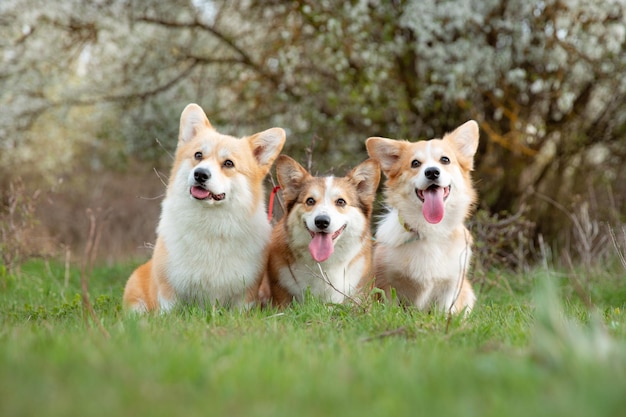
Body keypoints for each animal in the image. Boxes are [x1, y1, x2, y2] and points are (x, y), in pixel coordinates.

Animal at [123, 104, 284, 312]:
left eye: (228, 163)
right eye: (198, 155)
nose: (200, 174)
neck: (209, 222)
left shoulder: (245, 295)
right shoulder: (169, 292)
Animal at [366, 120, 478, 316]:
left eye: (445, 160)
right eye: (415, 163)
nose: (432, 172)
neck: (430, 229)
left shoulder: (450, 286)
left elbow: (444, 313)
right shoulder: (385, 282)